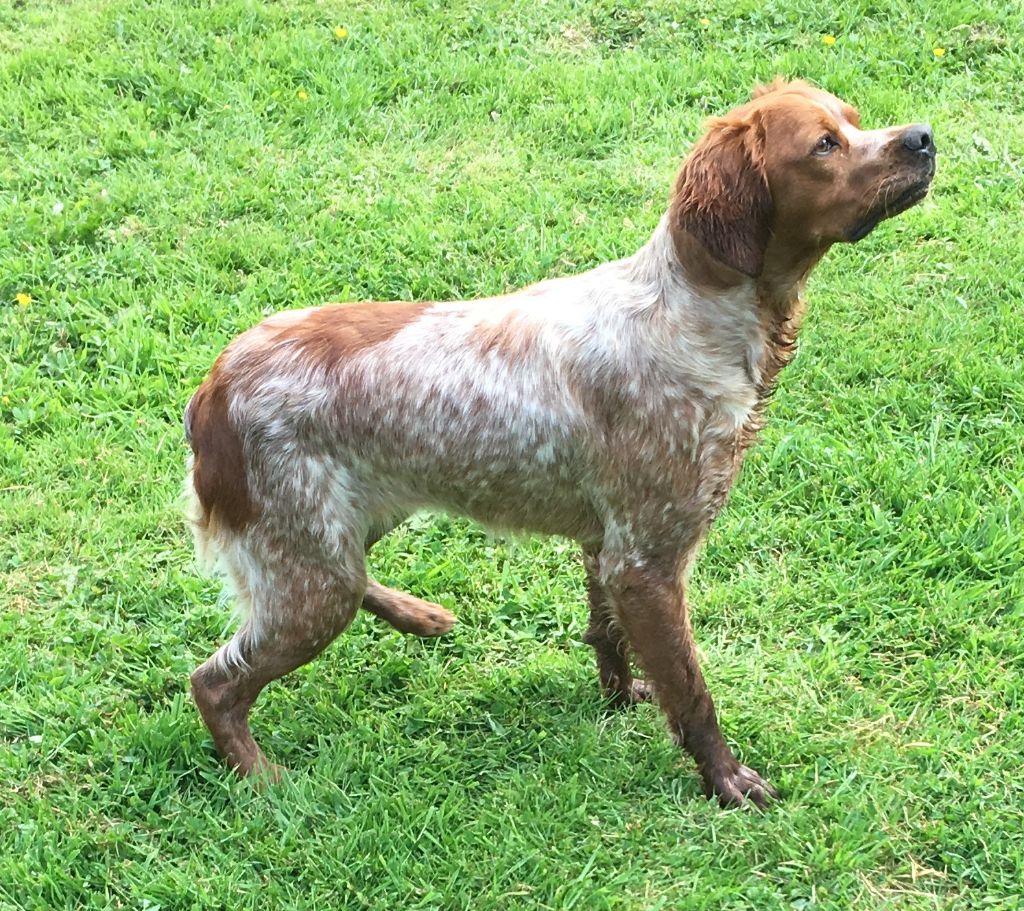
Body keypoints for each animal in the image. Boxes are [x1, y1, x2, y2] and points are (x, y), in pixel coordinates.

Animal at [184, 78, 937, 802]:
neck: (689, 314)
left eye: (855, 119)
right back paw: (261, 779)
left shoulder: (607, 543)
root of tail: (211, 390)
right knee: (214, 681)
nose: (924, 137)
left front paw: (620, 698)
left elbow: (608, 635)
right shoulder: (648, 559)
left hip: (336, 538)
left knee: (344, 584)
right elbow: (692, 692)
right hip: (310, 575)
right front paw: (725, 781)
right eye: (824, 145)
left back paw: (420, 615)